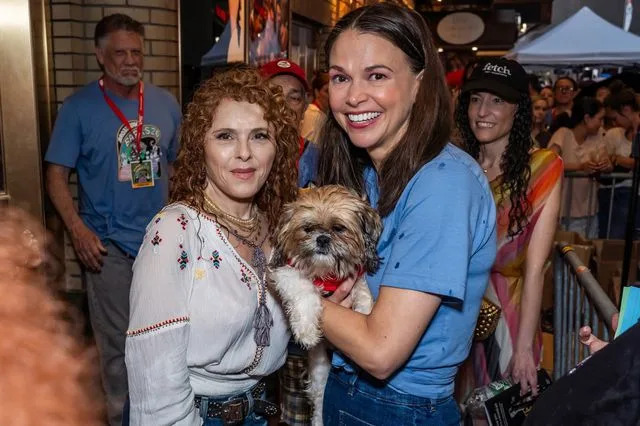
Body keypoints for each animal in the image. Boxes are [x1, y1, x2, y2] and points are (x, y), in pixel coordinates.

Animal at [268, 186, 382, 426]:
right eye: (308, 228)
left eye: (339, 228)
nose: (321, 239)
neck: (325, 274)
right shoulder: (286, 272)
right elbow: (305, 292)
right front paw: (307, 330)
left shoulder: (356, 278)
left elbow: (363, 294)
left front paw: (365, 311)